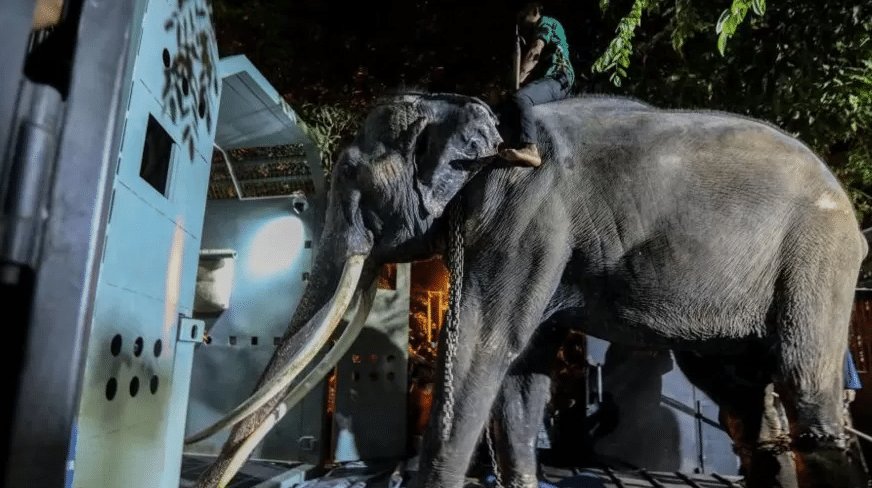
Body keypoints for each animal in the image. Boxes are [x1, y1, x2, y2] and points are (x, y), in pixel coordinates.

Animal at [191, 91, 870, 488]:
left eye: (352, 177)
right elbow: (521, 375)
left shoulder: (525, 212)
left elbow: (484, 350)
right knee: (740, 396)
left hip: (818, 252)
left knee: (805, 385)